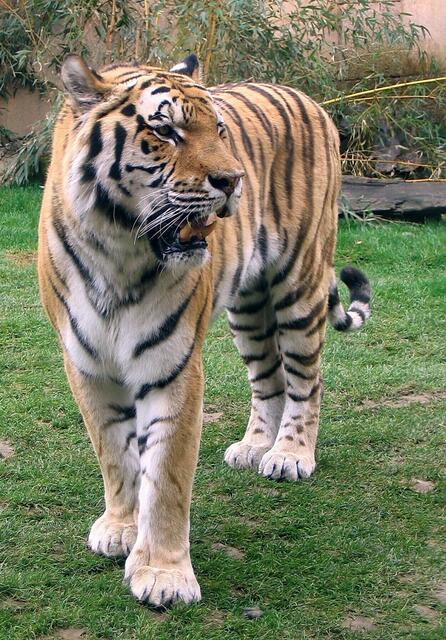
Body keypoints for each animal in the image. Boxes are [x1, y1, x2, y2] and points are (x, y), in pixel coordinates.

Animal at [37, 53, 371, 607]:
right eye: (164, 131)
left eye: (218, 129)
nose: (233, 180)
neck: (117, 252)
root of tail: (308, 97)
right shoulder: (87, 366)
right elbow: (114, 455)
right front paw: (120, 527)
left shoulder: (172, 367)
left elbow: (166, 476)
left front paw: (164, 575)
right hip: (248, 309)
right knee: (268, 380)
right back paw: (255, 446)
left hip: (300, 286)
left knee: (307, 381)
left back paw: (289, 455)